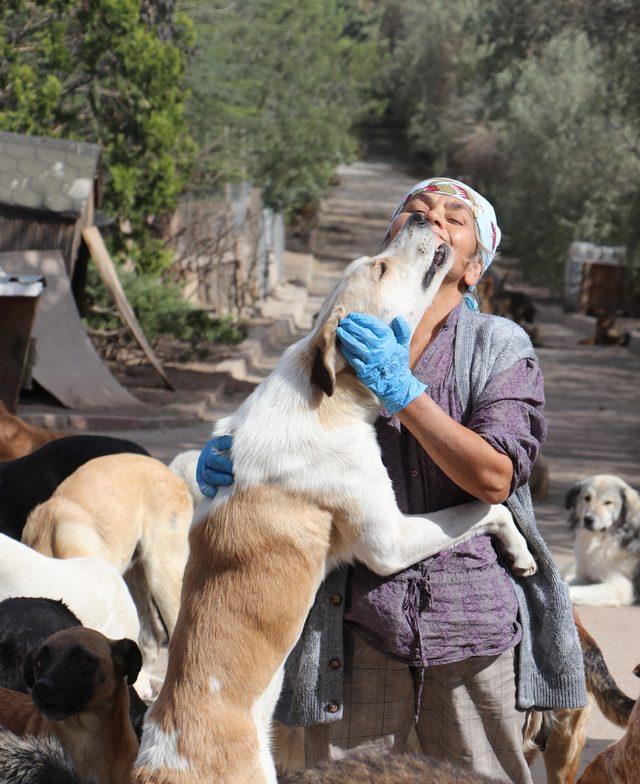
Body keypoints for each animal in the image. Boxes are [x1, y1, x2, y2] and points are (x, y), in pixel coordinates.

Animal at [131, 214, 536, 784]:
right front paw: (520, 552)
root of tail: (161, 759)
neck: (324, 393)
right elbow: (486, 507)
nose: (422, 217)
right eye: (381, 267)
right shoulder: (389, 541)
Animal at [564, 472, 640, 608]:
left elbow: (575, 589)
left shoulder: (620, 587)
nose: (588, 520)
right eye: (587, 498)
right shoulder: (585, 576)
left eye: (608, 502)